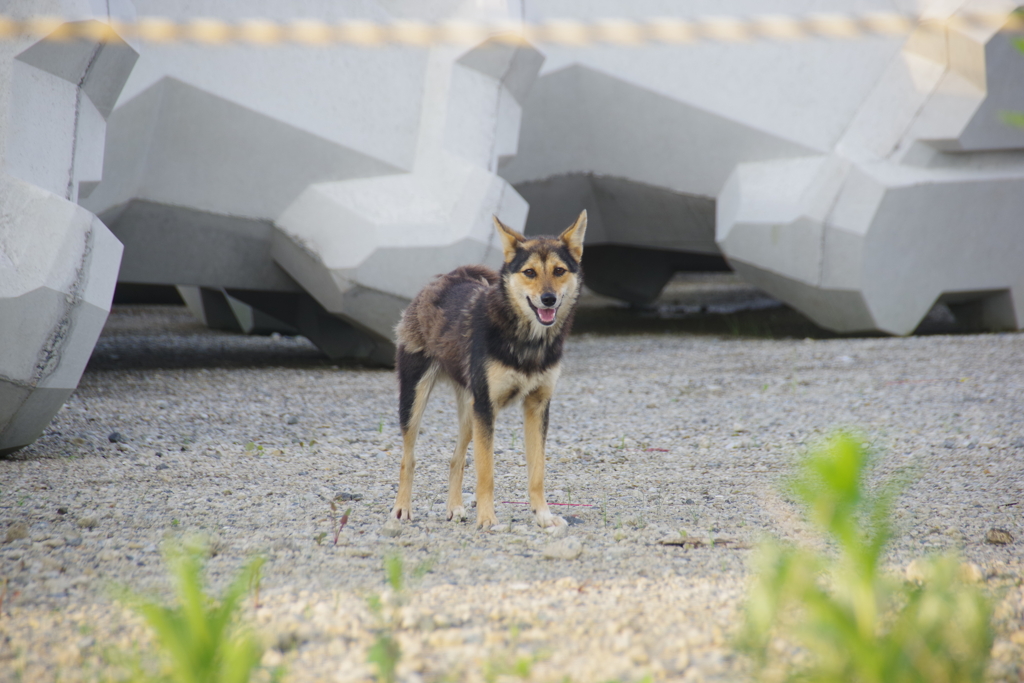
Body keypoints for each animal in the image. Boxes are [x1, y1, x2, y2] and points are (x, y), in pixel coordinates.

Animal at [389, 210, 585, 532]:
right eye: (529, 272)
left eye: (559, 271)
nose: (548, 299)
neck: (526, 340)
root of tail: (447, 279)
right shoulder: (486, 407)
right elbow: (486, 473)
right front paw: (487, 519)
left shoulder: (536, 406)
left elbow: (537, 472)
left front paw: (543, 515)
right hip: (415, 399)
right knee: (409, 457)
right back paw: (402, 508)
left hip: (469, 413)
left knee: (456, 460)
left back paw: (455, 508)